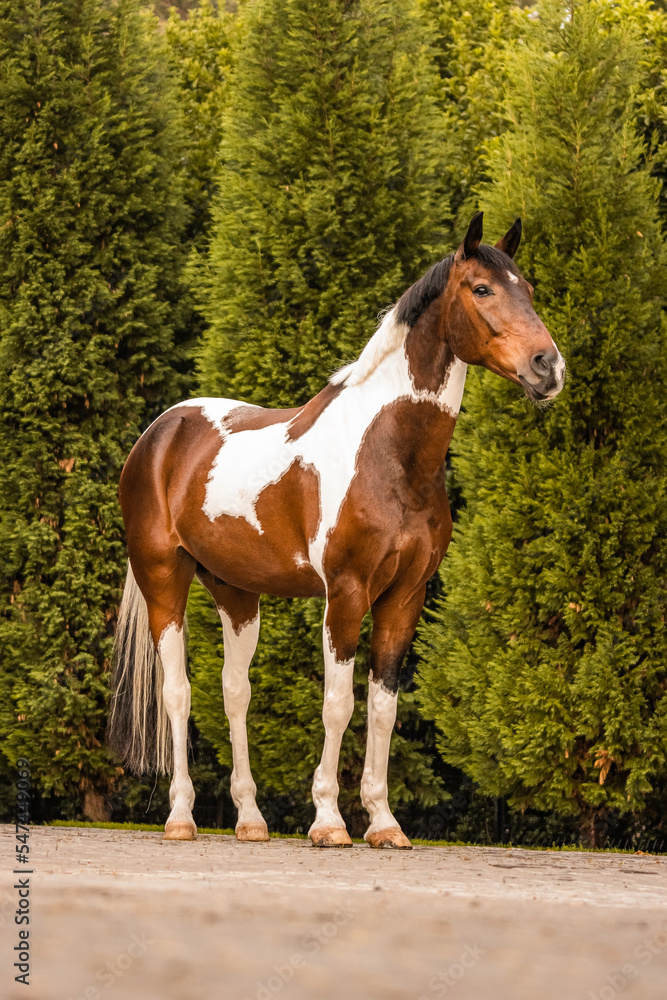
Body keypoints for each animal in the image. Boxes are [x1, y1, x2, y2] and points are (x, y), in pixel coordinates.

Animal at [108, 212, 565, 849]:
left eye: (530, 290)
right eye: (482, 289)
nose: (549, 368)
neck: (389, 454)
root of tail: (158, 434)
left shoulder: (404, 597)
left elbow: (382, 708)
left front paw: (384, 822)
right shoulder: (345, 593)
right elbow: (337, 704)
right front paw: (328, 821)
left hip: (236, 592)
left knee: (234, 692)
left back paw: (251, 820)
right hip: (163, 581)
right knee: (179, 691)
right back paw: (181, 817)